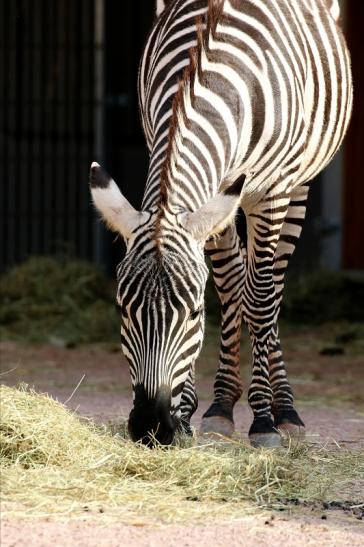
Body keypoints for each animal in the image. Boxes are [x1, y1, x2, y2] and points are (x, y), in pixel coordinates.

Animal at [90, 0, 352, 446]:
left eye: (195, 314)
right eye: (122, 309)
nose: (151, 426)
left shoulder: (271, 191)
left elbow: (259, 299)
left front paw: (262, 419)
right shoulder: (213, 189)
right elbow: (229, 286)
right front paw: (196, 410)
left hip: (298, 185)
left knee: (272, 285)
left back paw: (285, 410)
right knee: (240, 282)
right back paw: (224, 403)